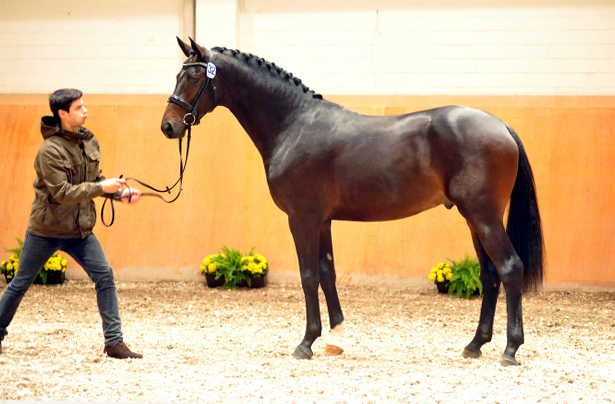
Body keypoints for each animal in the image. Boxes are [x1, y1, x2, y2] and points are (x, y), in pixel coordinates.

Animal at [160, 38, 544, 366]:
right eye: (178, 75)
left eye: (194, 77)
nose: (169, 126)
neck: (294, 124)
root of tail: (501, 126)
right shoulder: (323, 220)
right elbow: (327, 273)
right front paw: (335, 338)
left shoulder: (302, 218)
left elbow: (308, 275)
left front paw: (306, 343)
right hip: (473, 219)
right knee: (490, 273)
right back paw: (475, 345)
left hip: (484, 216)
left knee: (510, 267)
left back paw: (510, 349)